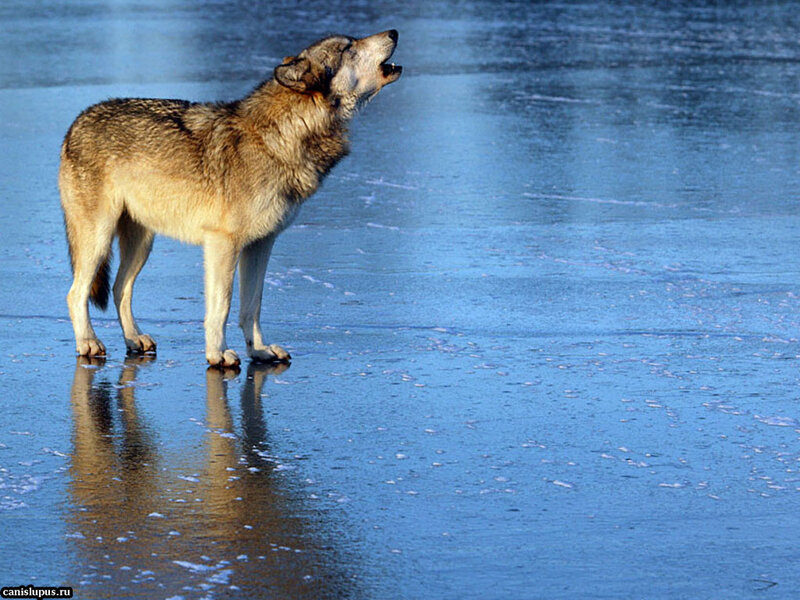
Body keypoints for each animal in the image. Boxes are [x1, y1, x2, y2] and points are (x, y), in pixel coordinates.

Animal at [59, 30, 401, 367]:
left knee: (119, 289)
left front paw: (259, 350)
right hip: (99, 239)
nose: (394, 32)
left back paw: (134, 340)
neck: (284, 135)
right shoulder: (222, 243)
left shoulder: (260, 244)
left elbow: (252, 305)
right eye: (348, 48)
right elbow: (221, 306)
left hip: (141, 243)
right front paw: (217, 354)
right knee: (76, 292)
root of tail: (76, 121)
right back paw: (88, 342)